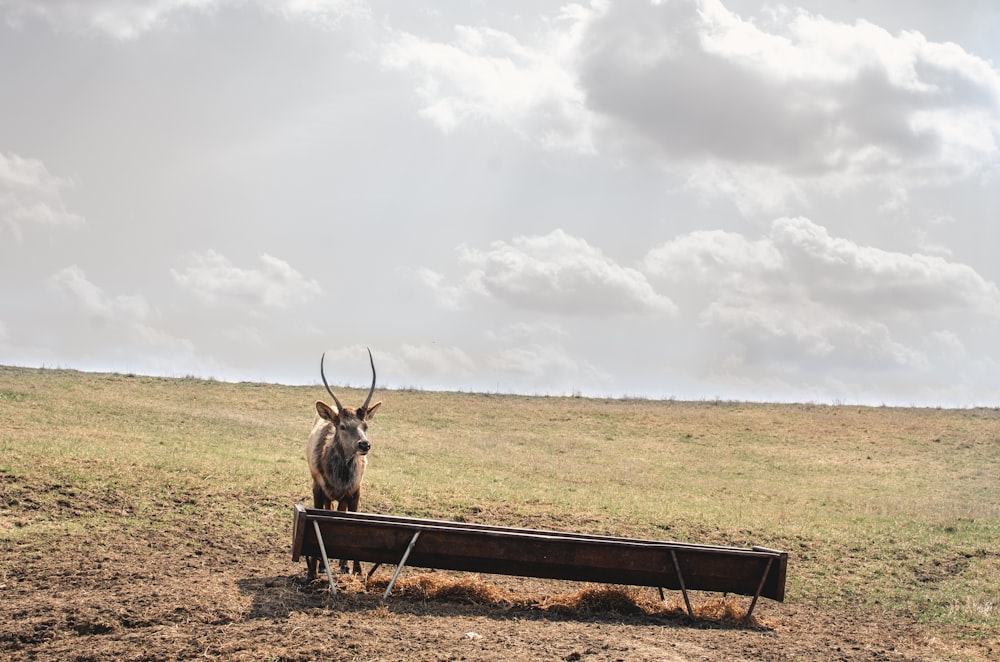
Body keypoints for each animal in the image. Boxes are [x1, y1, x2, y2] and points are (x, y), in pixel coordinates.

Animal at [302, 348, 380, 580]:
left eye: (365, 425)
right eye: (343, 426)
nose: (364, 444)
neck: (338, 477)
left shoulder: (355, 490)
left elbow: (352, 521)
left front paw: (356, 569)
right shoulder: (317, 488)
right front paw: (313, 569)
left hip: (344, 496)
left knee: (341, 512)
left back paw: (344, 564)